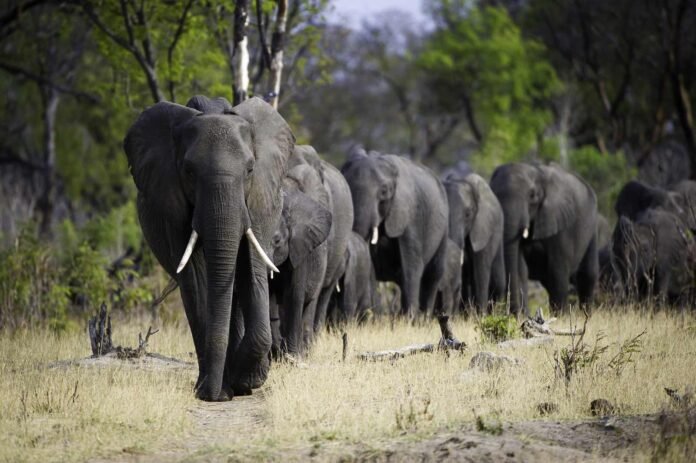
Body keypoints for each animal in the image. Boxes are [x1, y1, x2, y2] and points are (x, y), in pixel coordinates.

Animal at [123, 96, 295, 401]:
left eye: (250, 170)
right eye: (189, 172)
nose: (213, 394)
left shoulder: (259, 199)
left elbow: (251, 267)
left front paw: (245, 380)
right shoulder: (171, 202)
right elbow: (196, 276)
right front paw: (217, 391)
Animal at [268, 162, 332, 357]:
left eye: (277, 241)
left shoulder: (300, 248)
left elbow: (294, 295)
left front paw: (292, 356)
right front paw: (275, 354)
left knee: (308, 303)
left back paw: (305, 352)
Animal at [341, 150, 449, 320]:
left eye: (384, 192)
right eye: (347, 186)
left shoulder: (410, 215)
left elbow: (411, 265)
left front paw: (409, 320)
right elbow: (370, 266)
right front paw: (375, 319)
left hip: (443, 227)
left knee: (433, 274)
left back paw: (423, 319)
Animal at [490, 162, 599, 315]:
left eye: (532, 195)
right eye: (493, 193)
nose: (516, 314)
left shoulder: (560, 222)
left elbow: (557, 269)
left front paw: (561, 316)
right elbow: (521, 268)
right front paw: (523, 316)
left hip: (592, 226)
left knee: (587, 274)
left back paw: (586, 315)